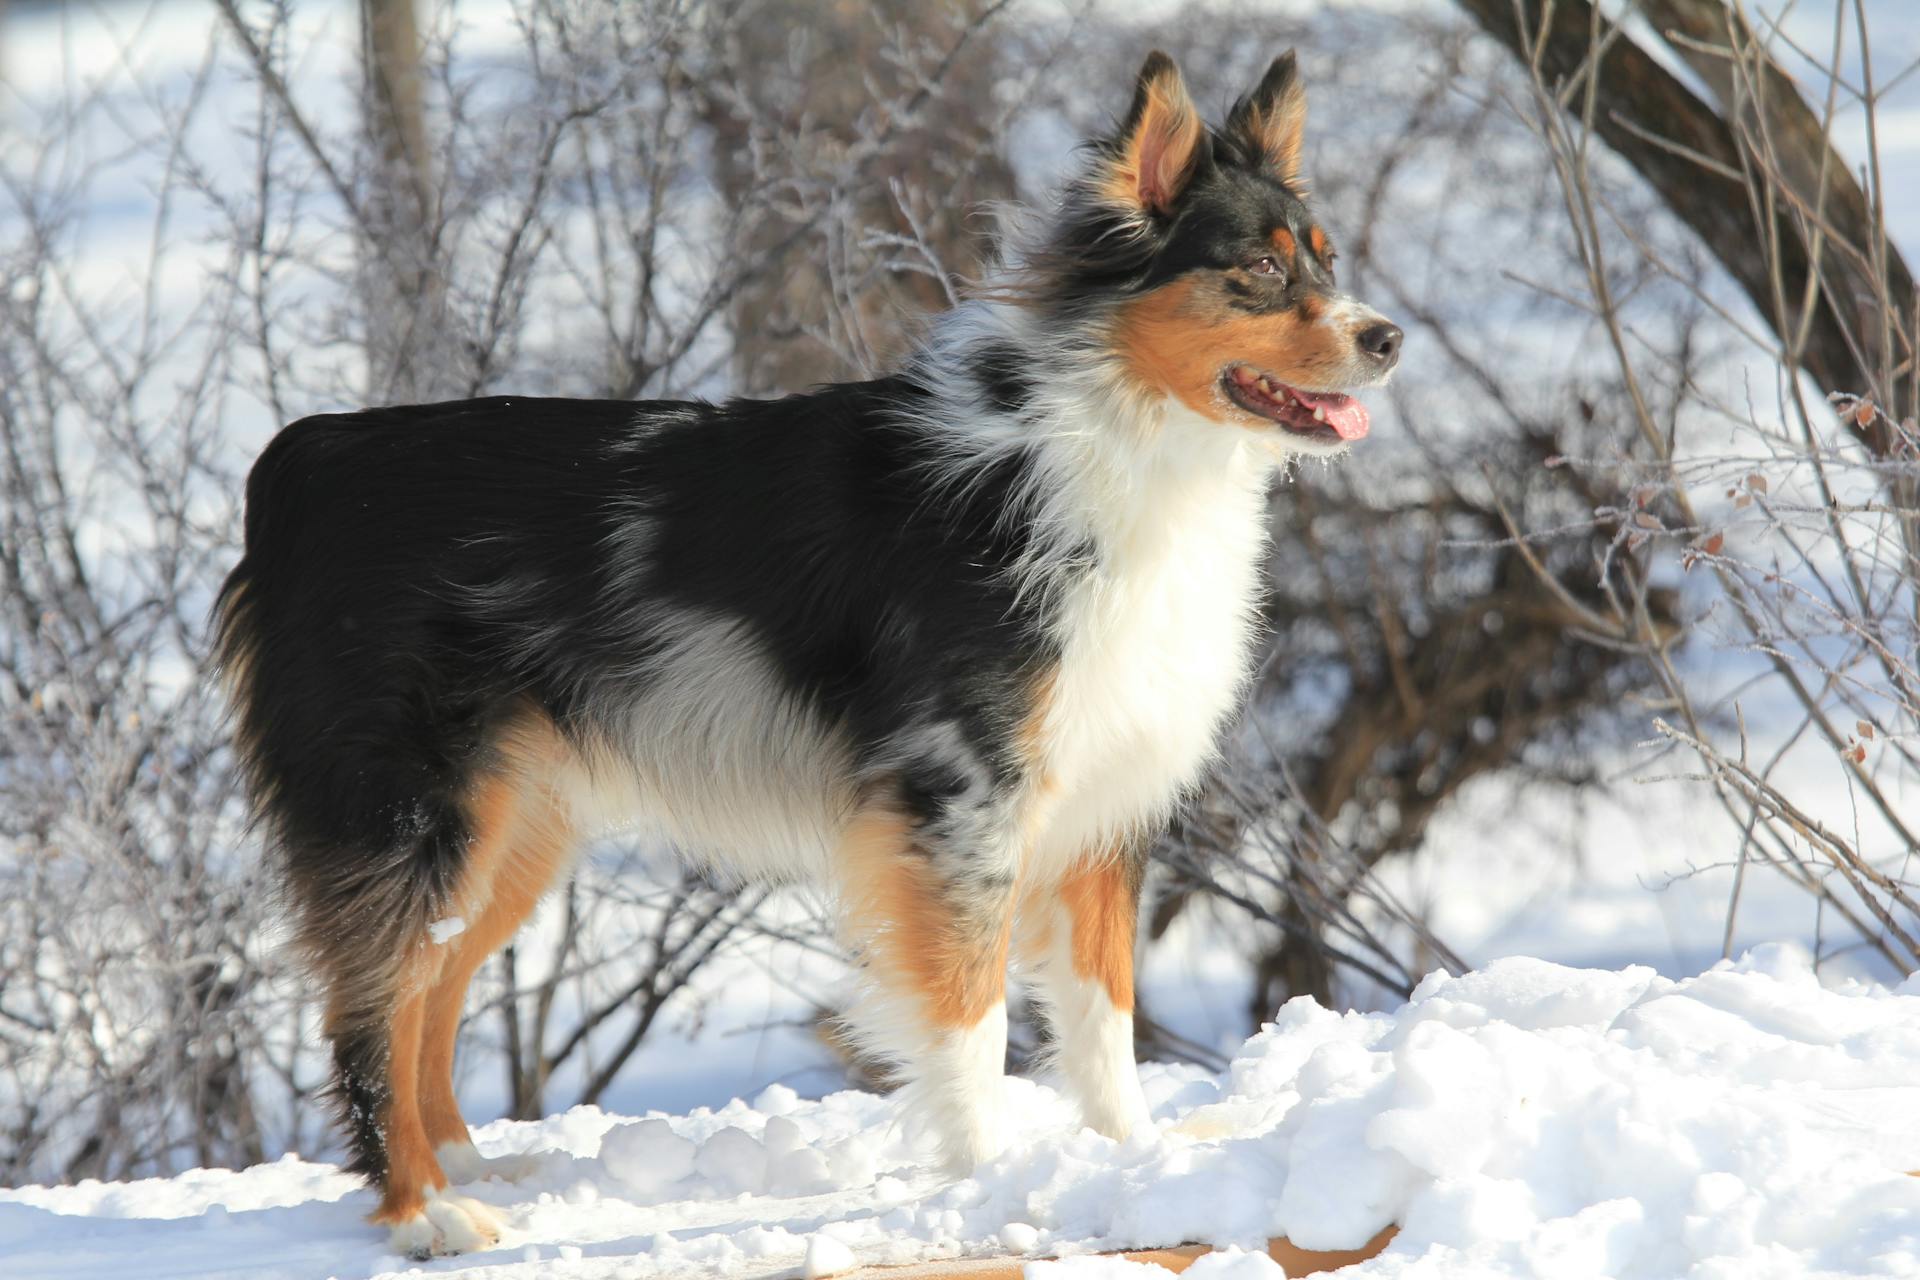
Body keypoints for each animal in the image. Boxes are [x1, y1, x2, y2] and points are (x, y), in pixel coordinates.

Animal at [217, 52, 1405, 1258]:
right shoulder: (961, 804)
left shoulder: (1103, 807)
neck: (1109, 440)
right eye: (1260, 266)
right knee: (369, 1008)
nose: (1388, 338)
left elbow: (1104, 1018)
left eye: (1327, 258)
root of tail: (303, 460)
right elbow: (973, 1018)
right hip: (417, 817)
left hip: (514, 828)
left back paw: (466, 1166)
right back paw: (422, 1212)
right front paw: (992, 1180)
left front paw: (1132, 1164)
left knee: (432, 992)